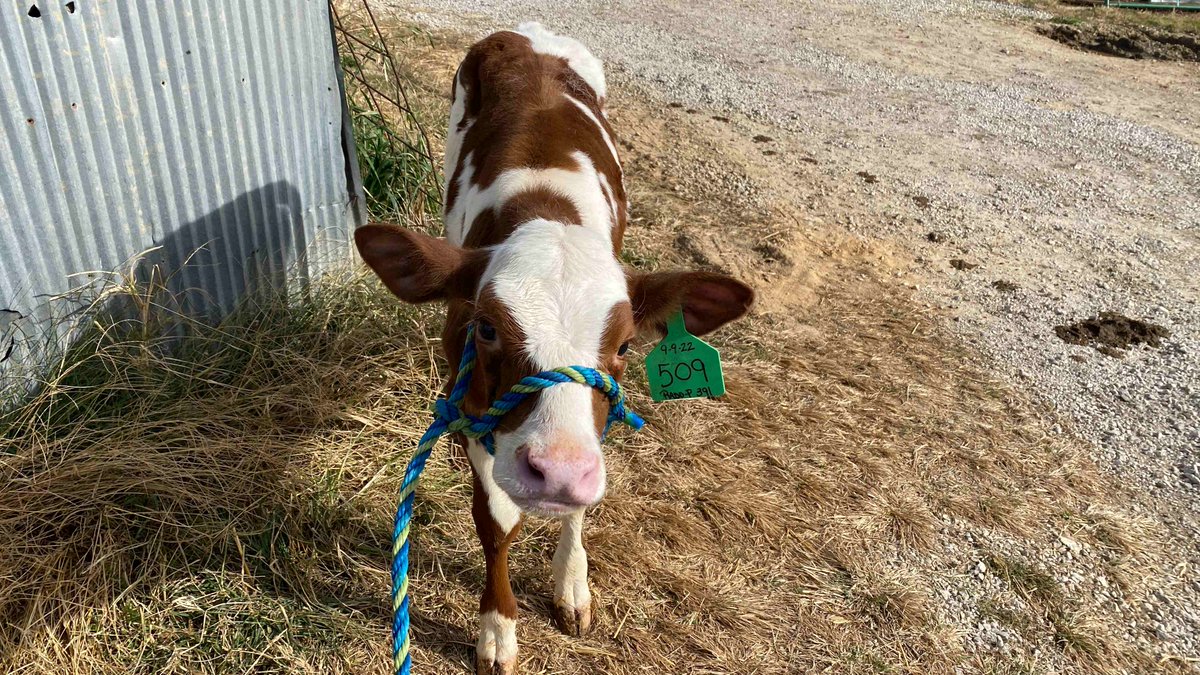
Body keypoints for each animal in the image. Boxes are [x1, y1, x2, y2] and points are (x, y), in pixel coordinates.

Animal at [355, 22, 754, 674]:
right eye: (487, 328)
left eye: (624, 346)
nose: (557, 471)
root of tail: (524, 32)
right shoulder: (475, 409)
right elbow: (496, 522)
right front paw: (498, 629)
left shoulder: (595, 419)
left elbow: (578, 504)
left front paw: (572, 584)